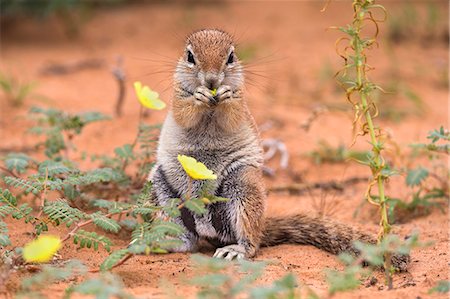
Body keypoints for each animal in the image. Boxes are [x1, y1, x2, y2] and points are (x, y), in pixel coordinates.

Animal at [149, 28, 410, 272]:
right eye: (190, 56)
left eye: (231, 57)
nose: (212, 81)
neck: (210, 108)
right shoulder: (177, 95)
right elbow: (184, 112)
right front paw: (199, 96)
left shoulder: (241, 101)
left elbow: (232, 114)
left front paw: (224, 95)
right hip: (160, 189)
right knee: (189, 240)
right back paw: (166, 243)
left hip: (243, 186)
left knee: (251, 242)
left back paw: (237, 249)